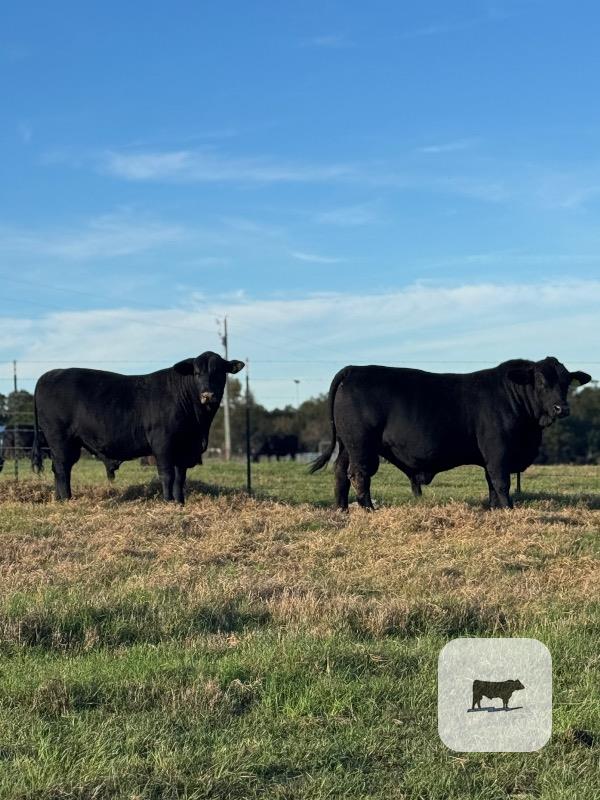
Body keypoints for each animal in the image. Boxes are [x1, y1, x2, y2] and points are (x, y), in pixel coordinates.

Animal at [32, 351, 244, 503]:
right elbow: (167, 474)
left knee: (58, 468)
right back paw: (67, 499)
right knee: (62, 468)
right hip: (60, 439)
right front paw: (167, 501)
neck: (198, 426)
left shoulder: (184, 449)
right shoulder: (162, 443)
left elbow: (180, 477)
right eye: (197, 373)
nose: (208, 395)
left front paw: (180, 502)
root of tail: (50, 374)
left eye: (219, 372)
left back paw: (59, 498)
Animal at [310, 357, 592, 511]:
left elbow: (491, 483)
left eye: (566, 382)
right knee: (359, 474)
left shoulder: (491, 457)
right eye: (541, 381)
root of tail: (354, 369)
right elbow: (501, 481)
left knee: (340, 472)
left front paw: (494, 510)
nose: (562, 408)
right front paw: (508, 509)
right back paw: (368, 510)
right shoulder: (498, 451)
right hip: (362, 445)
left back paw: (342, 509)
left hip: (347, 445)